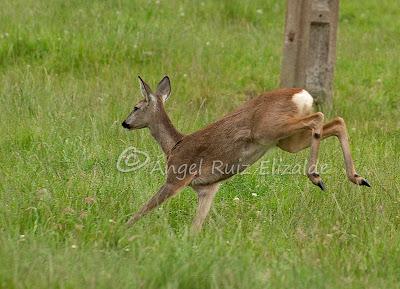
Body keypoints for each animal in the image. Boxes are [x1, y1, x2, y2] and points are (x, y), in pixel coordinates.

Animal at [120, 75, 370, 231]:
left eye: (135, 107)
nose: (125, 123)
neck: (174, 145)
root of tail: (302, 94)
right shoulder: (208, 188)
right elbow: (195, 226)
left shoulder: (176, 178)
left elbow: (144, 209)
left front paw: (120, 230)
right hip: (287, 141)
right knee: (337, 122)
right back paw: (358, 178)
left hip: (270, 128)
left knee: (318, 118)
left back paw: (317, 176)